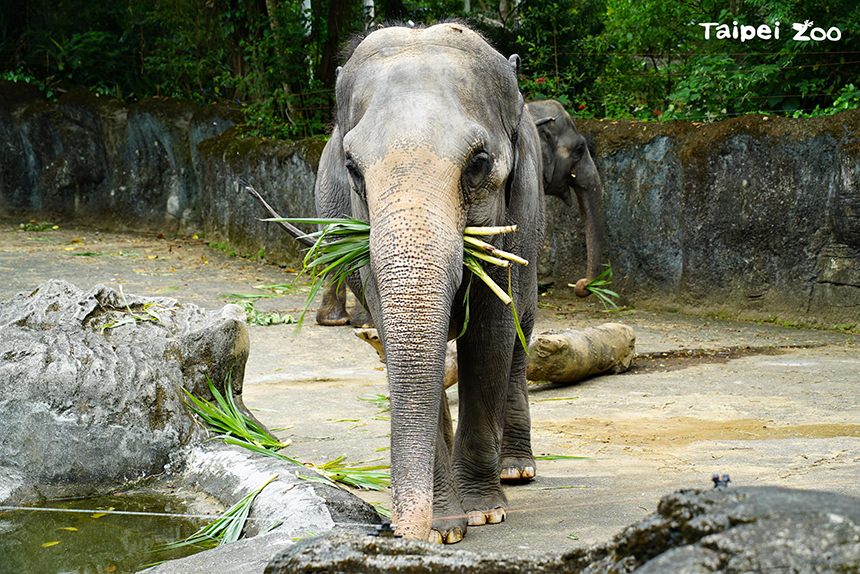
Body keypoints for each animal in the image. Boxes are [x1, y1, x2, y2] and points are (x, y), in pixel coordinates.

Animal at [314, 22, 544, 544]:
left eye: (479, 162)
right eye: (352, 168)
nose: (397, 531)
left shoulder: (519, 209)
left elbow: (491, 334)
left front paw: (484, 513)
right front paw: (445, 528)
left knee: (522, 330)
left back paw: (516, 471)